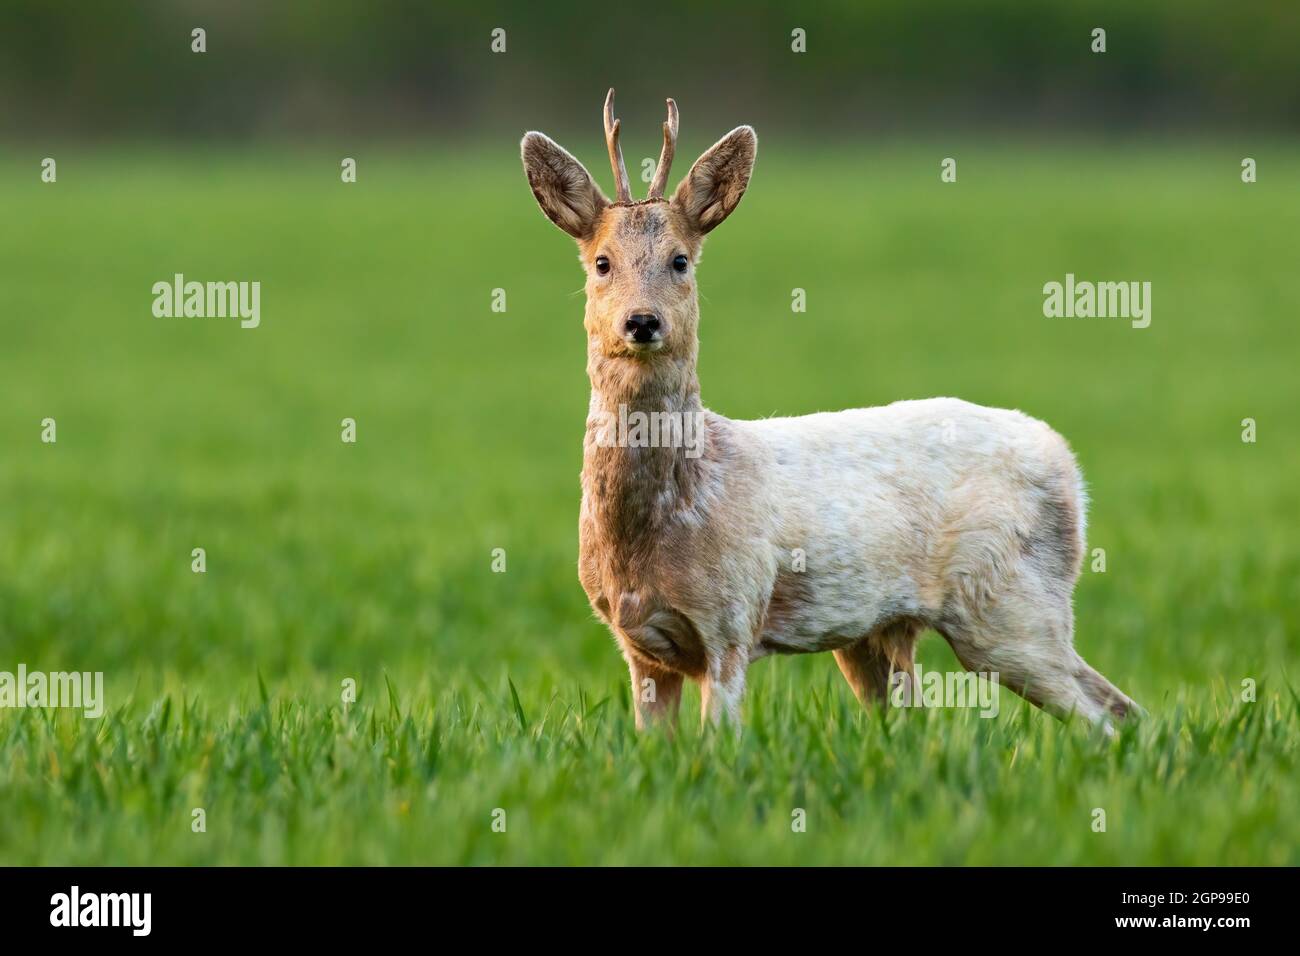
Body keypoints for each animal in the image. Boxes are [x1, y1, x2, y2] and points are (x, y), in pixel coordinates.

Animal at [517, 91, 1138, 733]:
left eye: (681, 260)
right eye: (602, 262)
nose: (642, 321)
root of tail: (1067, 465)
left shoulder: (732, 616)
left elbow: (720, 736)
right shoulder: (638, 643)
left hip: (1009, 601)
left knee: (1107, 712)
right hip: (882, 634)